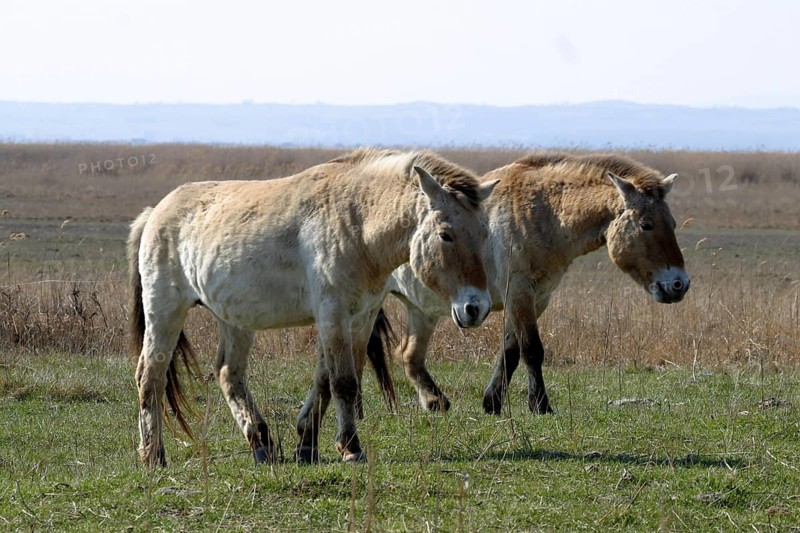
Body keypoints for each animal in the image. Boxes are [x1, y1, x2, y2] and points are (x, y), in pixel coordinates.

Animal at [128, 148, 498, 467]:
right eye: (446, 234)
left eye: (483, 234)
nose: (476, 308)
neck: (356, 220)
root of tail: (154, 214)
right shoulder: (333, 313)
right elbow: (343, 381)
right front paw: (351, 448)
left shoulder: (359, 317)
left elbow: (326, 381)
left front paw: (307, 444)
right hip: (165, 310)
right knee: (150, 375)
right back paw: (153, 456)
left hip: (234, 320)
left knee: (227, 373)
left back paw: (261, 445)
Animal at [366, 152, 690, 414]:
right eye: (646, 225)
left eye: (673, 224)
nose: (679, 285)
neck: (541, 213)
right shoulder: (520, 292)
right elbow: (532, 349)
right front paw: (540, 405)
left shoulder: (537, 297)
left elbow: (510, 351)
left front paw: (492, 403)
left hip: (420, 311)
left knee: (408, 355)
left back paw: (434, 402)